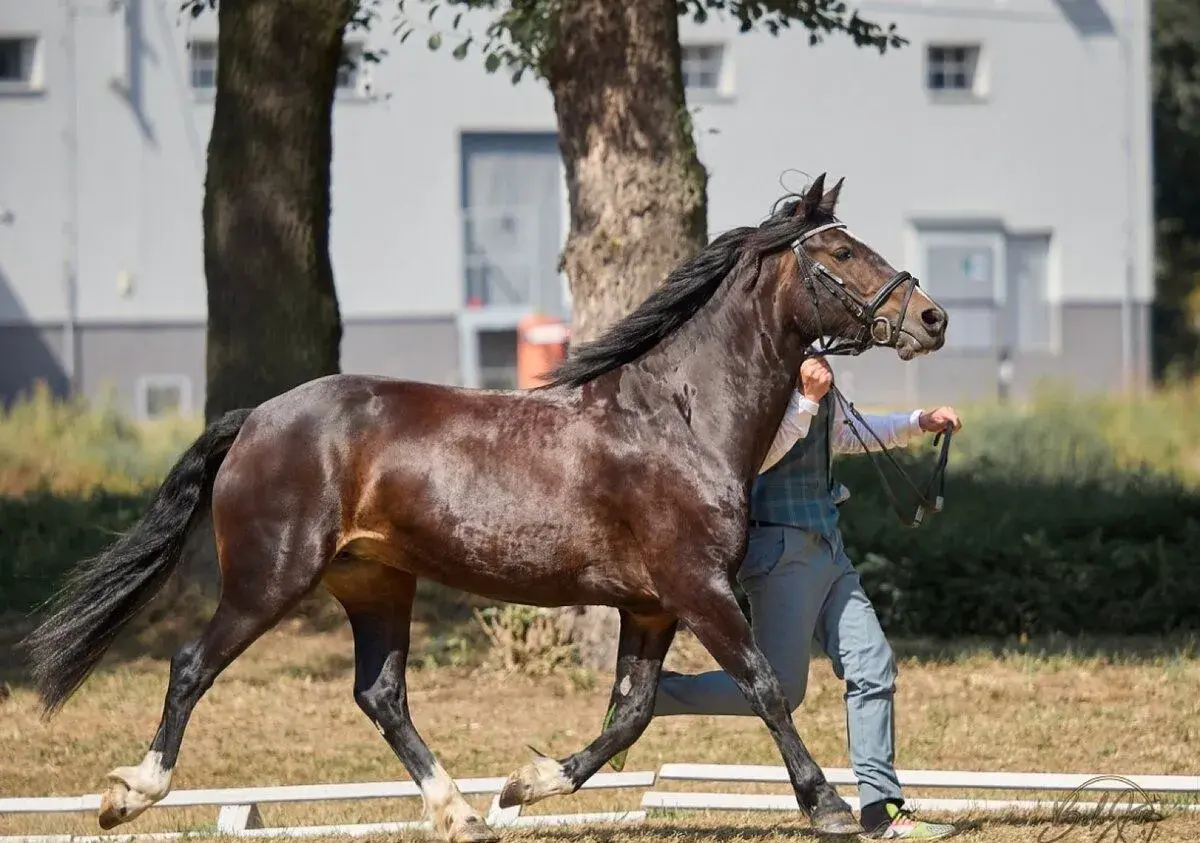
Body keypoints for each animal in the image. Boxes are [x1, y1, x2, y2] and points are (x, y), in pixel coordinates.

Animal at [22, 174, 948, 841]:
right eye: (841, 251)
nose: (932, 316)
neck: (676, 418)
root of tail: (256, 416)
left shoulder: (652, 605)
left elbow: (631, 713)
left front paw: (525, 783)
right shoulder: (697, 589)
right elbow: (762, 685)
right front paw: (828, 805)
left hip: (376, 583)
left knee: (381, 693)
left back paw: (460, 810)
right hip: (269, 578)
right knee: (192, 665)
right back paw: (129, 794)